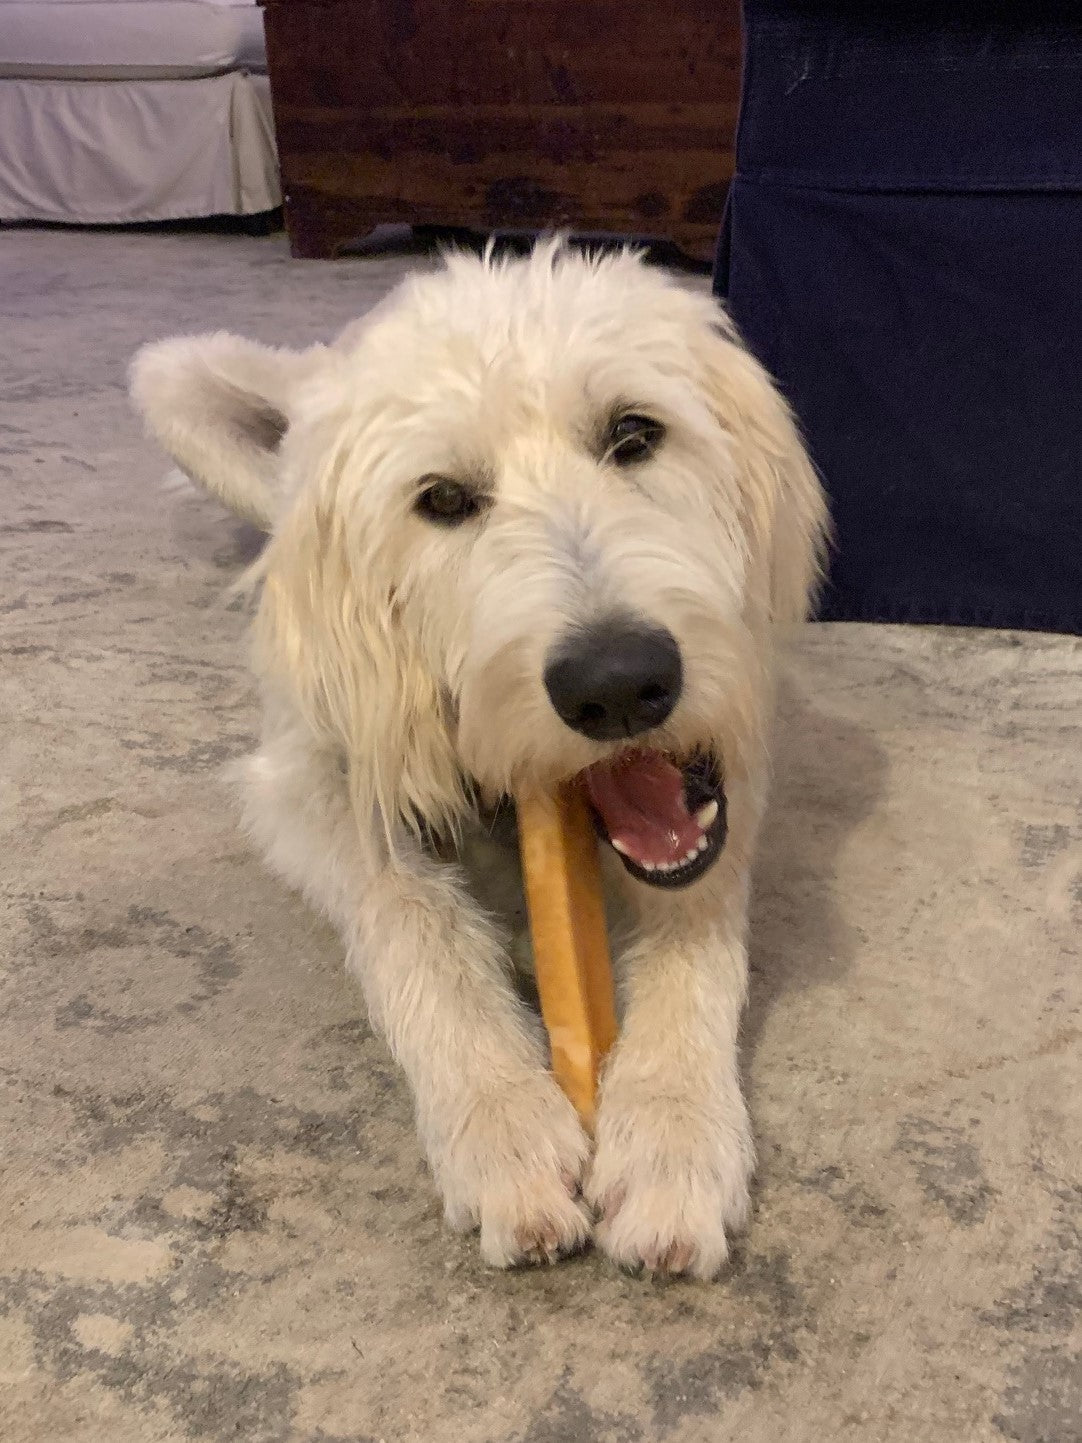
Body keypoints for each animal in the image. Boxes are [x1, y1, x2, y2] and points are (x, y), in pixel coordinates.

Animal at [135, 242, 830, 1281]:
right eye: (444, 501)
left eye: (634, 434)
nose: (619, 685)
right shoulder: (311, 776)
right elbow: (410, 918)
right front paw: (502, 1121)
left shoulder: (733, 740)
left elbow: (697, 922)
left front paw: (672, 1128)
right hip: (169, 377)